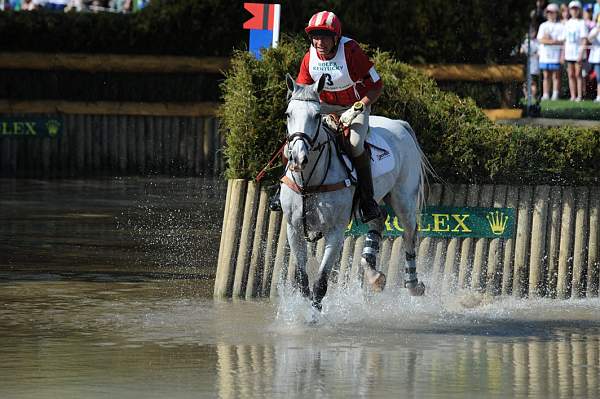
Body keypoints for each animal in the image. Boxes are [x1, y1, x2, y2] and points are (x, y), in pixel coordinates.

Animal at [278, 74, 428, 312]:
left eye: (317, 115)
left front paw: (313, 316)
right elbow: (303, 281)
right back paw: (373, 275)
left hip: (403, 199)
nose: (298, 159)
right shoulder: (294, 228)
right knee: (378, 219)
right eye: (288, 114)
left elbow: (320, 284)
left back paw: (413, 284)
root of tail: (400, 125)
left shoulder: (336, 231)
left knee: (409, 233)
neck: (309, 180)